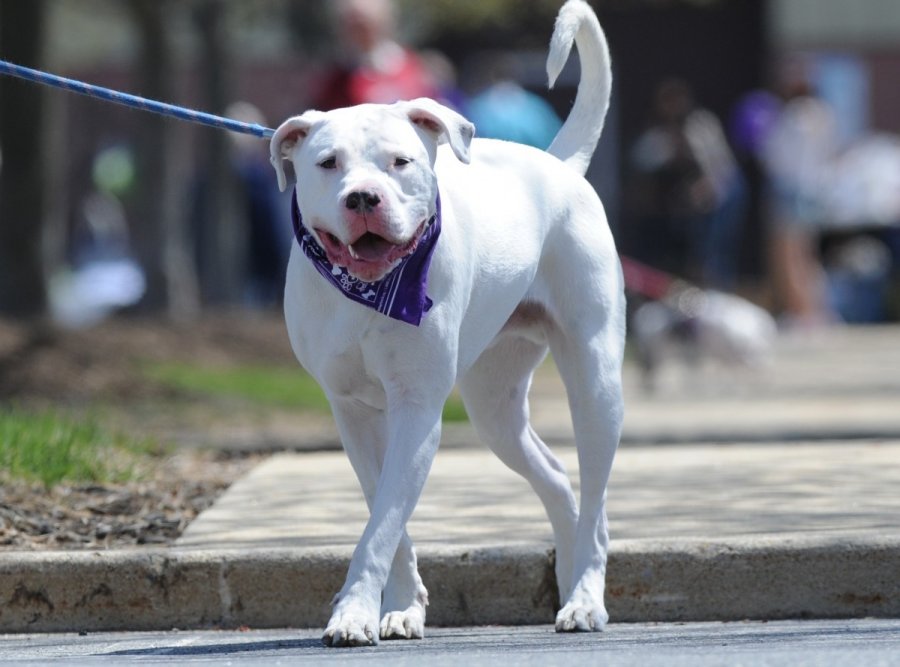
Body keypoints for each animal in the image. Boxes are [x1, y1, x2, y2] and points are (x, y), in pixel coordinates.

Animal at [268, 0, 620, 648]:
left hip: (596, 383)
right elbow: (385, 515)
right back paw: (567, 573)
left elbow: (382, 524)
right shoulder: (354, 412)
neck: (372, 290)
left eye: (400, 161)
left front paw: (353, 613)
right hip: (493, 405)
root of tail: (558, 167)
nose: (363, 198)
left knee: (596, 496)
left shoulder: (418, 406)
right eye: (327, 164)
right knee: (557, 477)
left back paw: (585, 599)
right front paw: (401, 608)